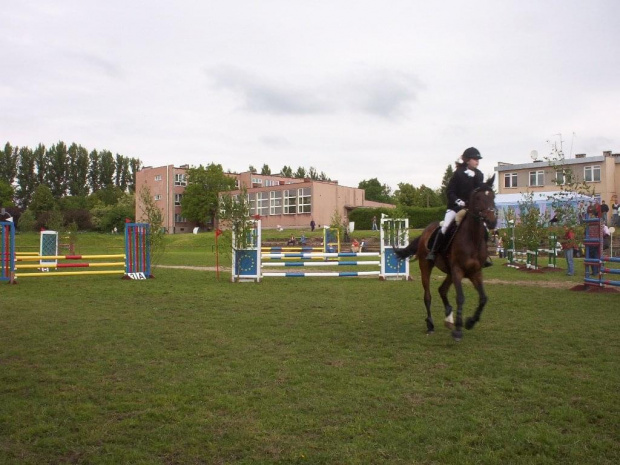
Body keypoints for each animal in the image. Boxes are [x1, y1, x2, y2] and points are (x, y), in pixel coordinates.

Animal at [398, 175, 498, 340]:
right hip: (426, 267)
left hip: (450, 272)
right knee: (428, 296)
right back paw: (430, 324)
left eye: (493, 196)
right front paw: (458, 330)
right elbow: (460, 297)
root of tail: (426, 231)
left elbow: (483, 298)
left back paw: (448, 318)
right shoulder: (457, 270)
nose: (492, 221)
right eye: (478, 198)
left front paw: (470, 322)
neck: (472, 238)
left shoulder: (475, 272)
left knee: (442, 290)